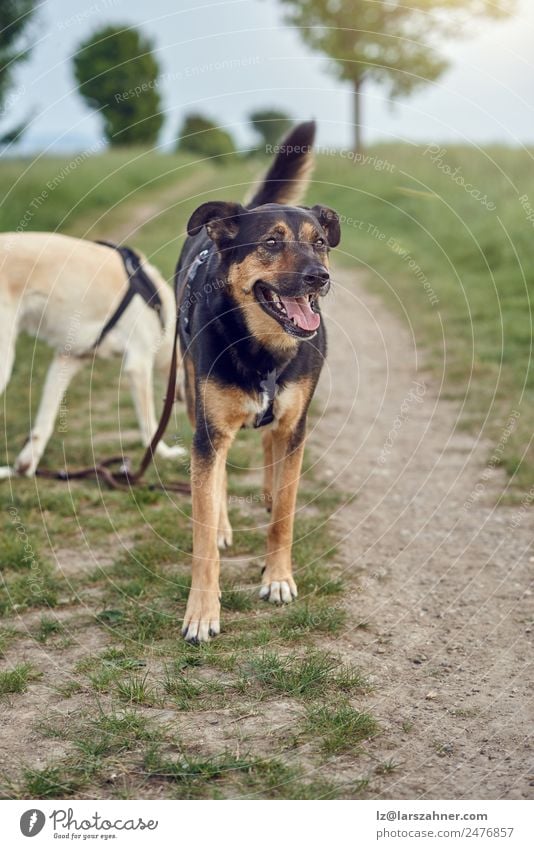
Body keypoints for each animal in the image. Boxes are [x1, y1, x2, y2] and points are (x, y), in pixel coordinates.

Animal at [0, 232, 185, 476]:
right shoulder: (139, 364)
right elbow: (150, 426)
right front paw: (163, 454)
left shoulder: (66, 361)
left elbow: (44, 421)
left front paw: (26, 465)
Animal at [178, 121, 342, 644]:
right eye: (271, 243)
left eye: (319, 242)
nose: (320, 277)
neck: (263, 347)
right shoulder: (209, 434)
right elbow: (202, 530)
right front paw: (202, 612)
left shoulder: (297, 424)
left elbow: (285, 516)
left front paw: (278, 578)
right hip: (192, 399)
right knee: (217, 479)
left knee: (273, 454)